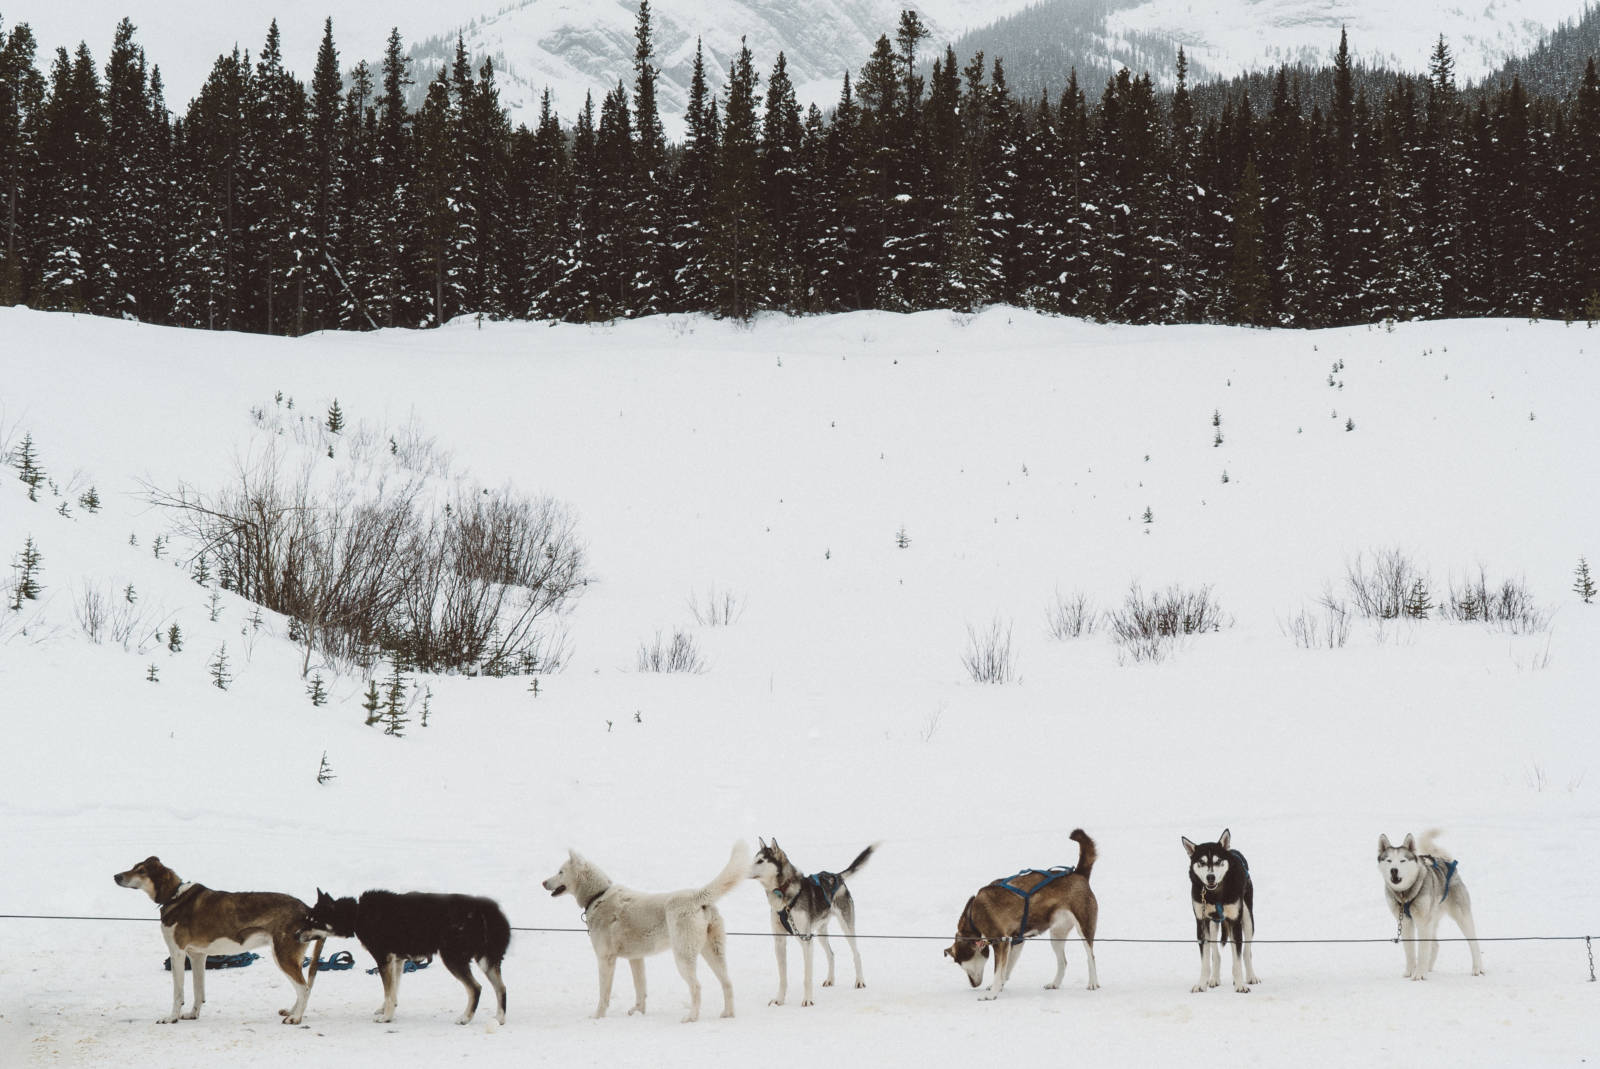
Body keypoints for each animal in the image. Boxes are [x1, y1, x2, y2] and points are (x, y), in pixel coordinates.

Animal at [114, 857, 326, 1024]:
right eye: (134, 866)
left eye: (141, 870)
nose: (116, 876)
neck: (175, 896)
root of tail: (308, 910)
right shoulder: (197, 956)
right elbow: (198, 991)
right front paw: (192, 1014)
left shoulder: (177, 953)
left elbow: (178, 993)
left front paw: (171, 1018)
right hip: (289, 957)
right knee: (303, 988)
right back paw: (292, 1011)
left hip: (283, 955)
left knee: (304, 988)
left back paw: (295, 1018)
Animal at [307, 889, 512, 1024]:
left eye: (313, 921)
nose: (299, 933)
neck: (358, 914)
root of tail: (482, 909)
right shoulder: (397, 961)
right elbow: (392, 991)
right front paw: (386, 1009)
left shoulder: (383, 959)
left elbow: (389, 991)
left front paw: (386, 1017)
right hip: (486, 961)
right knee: (501, 988)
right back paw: (499, 1018)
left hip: (453, 958)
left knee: (476, 988)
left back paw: (465, 1018)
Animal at [544, 838, 748, 1024]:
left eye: (560, 871)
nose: (543, 882)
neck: (598, 895)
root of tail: (696, 896)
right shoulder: (636, 958)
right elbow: (640, 988)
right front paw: (638, 1012)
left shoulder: (605, 959)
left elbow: (603, 994)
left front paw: (597, 1016)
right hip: (713, 951)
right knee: (727, 983)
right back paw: (728, 1014)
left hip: (683, 956)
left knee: (697, 987)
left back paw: (691, 1017)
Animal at [934, 825, 1100, 1004]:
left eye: (961, 963)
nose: (972, 984)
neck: (973, 917)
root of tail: (1079, 873)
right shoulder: (1015, 941)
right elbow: (1005, 970)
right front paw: (998, 987)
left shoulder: (1001, 942)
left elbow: (998, 972)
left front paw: (991, 994)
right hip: (1056, 935)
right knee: (1063, 961)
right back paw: (1055, 983)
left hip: (1084, 928)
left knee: (1091, 956)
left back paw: (1093, 983)